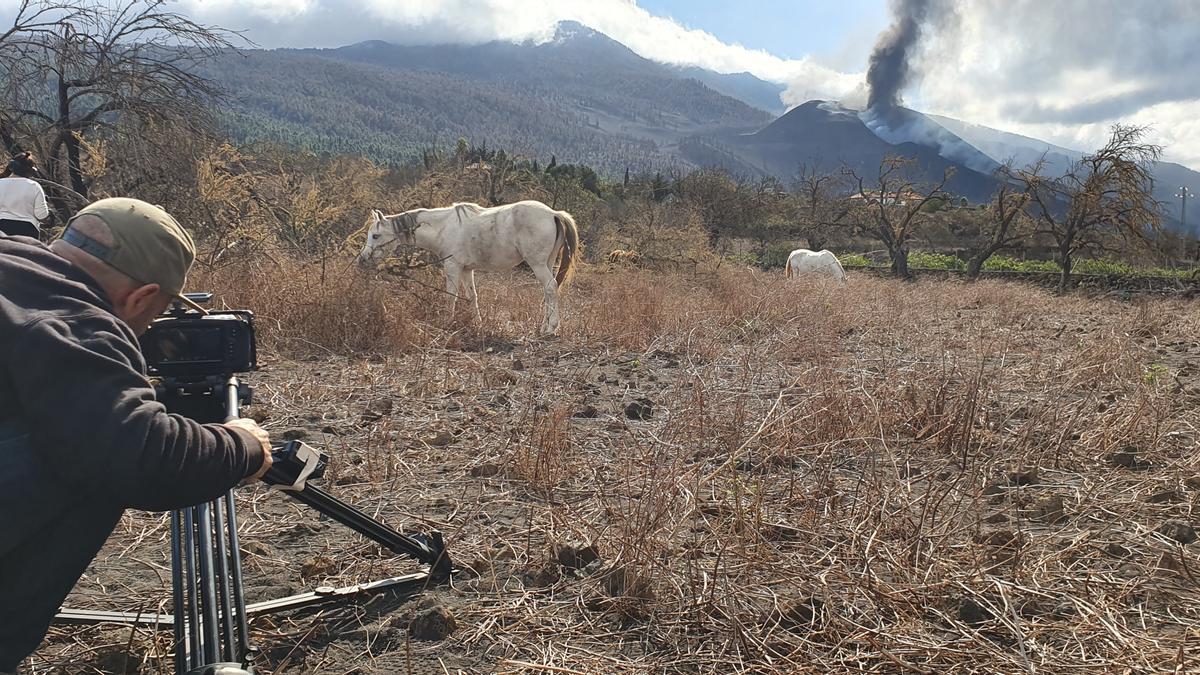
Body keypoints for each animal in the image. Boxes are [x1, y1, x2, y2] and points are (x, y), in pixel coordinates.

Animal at [355, 199, 580, 333]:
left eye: (376, 235)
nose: (362, 260)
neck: (443, 227)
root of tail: (553, 213)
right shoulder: (466, 270)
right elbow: (472, 296)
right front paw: (478, 323)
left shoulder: (453, 267)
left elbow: (451, 296)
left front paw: (447, 322)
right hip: (547, 262)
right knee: (548, 291)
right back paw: (544, 326)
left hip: (537, 264)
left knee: (550, 287)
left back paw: (551, 328)